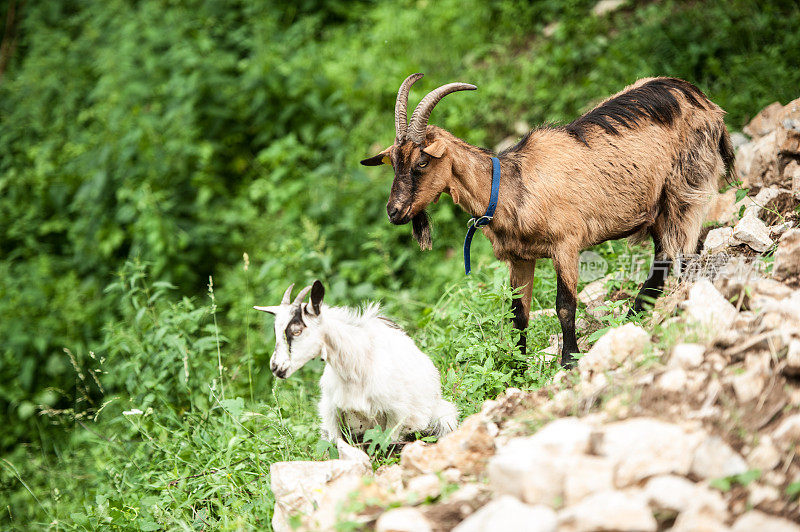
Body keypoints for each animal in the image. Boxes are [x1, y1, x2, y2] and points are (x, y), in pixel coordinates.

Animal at [364, 74, 736, 366]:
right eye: (394, 163)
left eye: (422, 162)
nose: (394, 212)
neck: (510, 187)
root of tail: (703, 99)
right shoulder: (519, 258)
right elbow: (519, 315)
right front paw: (516, 367)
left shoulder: (566, 245)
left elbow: (565, 305)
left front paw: (569, 360)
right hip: (658, 206)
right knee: (663, 260)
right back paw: (633, 317)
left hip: (686, 186)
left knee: (682, 252)